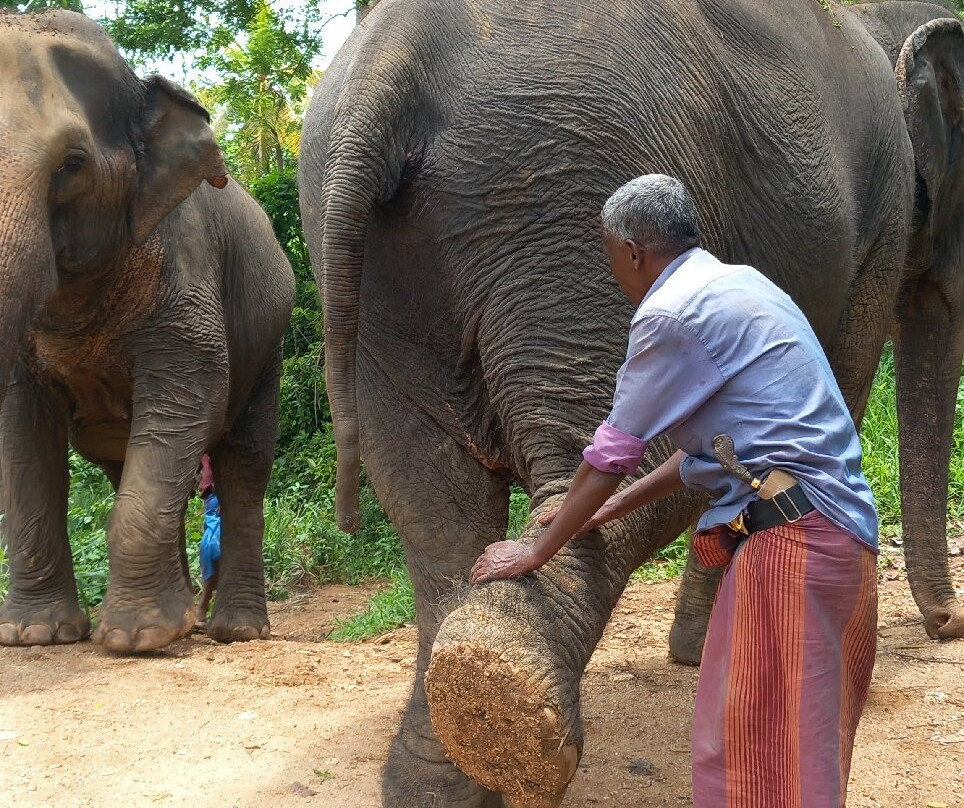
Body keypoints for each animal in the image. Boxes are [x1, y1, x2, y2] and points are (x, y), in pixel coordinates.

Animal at [0, 11, 295, 653]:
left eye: (73, 163)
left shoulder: (184, 270)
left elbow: (196, 385)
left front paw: (137, 639)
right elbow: (22, 433)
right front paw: (35, 634)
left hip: (269, 352)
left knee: (243, 467)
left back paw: (234, 631)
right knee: (126, 469)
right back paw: (184, 616)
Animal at [299, 0, 963, 805]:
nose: (951, 625)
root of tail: (394, 63)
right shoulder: (881, 217)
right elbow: (833, 383)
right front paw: (704, 650)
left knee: (437, 508)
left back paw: (449, 754)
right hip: (558, 191)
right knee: (619, 465)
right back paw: (503, 699)